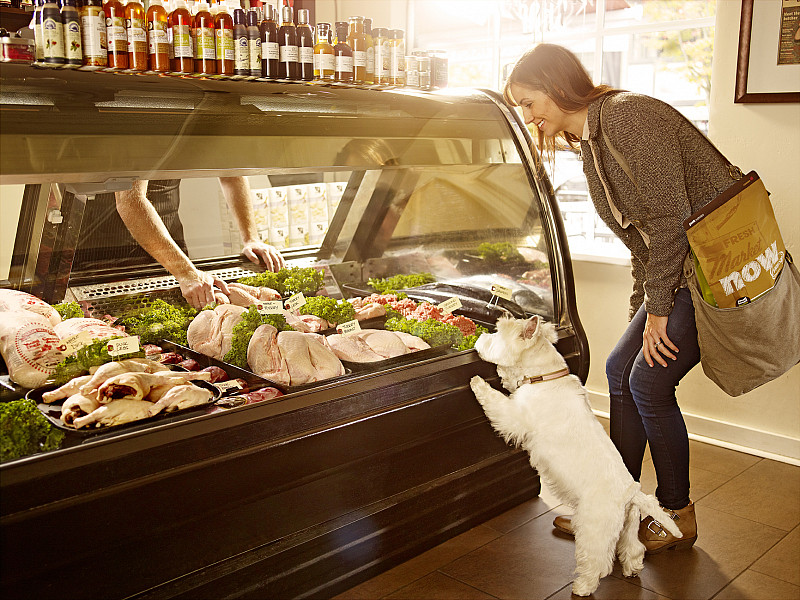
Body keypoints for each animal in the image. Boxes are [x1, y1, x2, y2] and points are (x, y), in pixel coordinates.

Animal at [468, 314, 680, 596]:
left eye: (498, 332)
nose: (481, 336)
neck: (545, 377)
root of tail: (631, 494)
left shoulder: (514, 418)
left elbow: (495, 401)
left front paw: (476, 381)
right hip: (628, 526)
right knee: (634, 548)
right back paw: (632, 570)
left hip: (594, 528)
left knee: (598, 562)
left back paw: (582, 586)